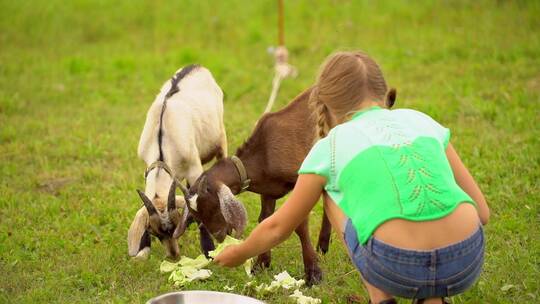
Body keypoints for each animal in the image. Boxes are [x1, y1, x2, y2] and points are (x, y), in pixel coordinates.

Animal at [128, 65, 226, 260]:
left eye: (174, 227)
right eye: (154, 233)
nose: (174, 256)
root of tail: (196, 66)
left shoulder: (195, 169)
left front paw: (208, 250)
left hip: (220, 137)